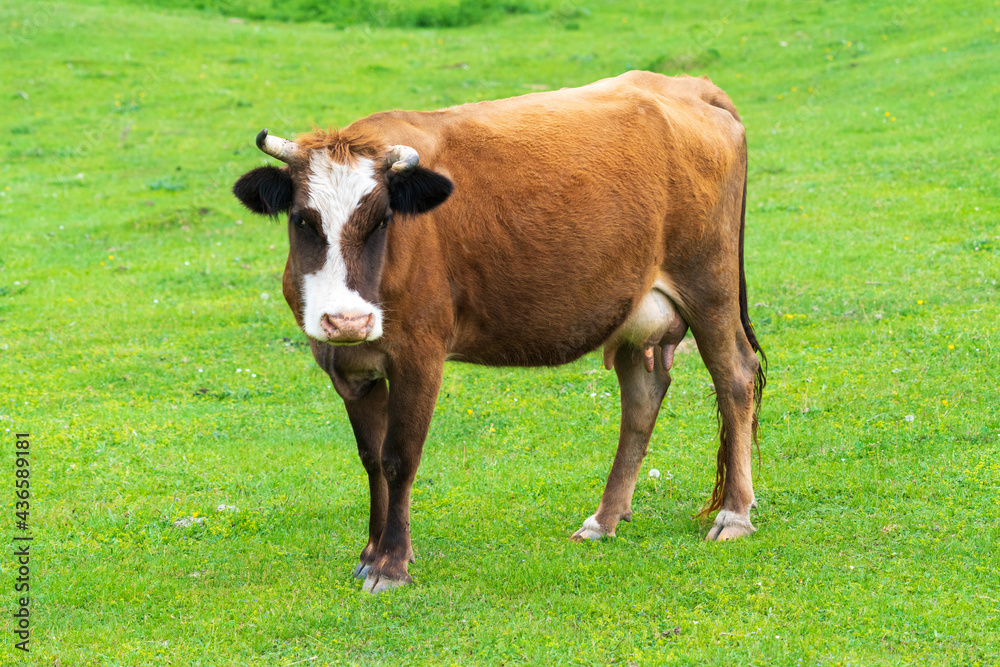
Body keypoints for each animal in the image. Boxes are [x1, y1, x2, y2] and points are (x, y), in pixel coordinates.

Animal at [233, 71, 765, 593]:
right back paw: (604, 519)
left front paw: (392, 564)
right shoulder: (348, 368)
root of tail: (686, 85)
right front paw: (369, 554)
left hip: (709, 285)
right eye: (304, 220)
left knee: (735, 378)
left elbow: (399, 458)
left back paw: (734, 514)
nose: (347, 320)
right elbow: (371, 459)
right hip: (637, 307)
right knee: (642, 397)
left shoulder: (419, 356)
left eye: (382, 220)